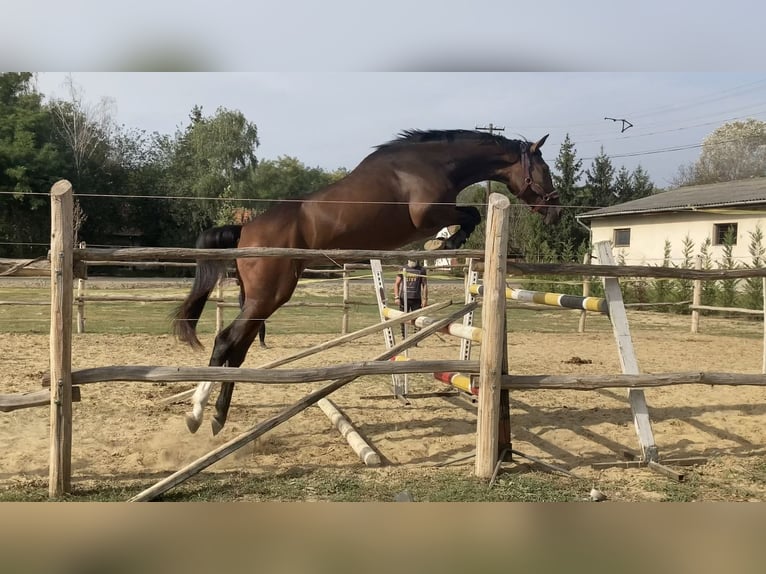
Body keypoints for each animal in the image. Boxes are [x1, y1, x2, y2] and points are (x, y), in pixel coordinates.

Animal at [172, 129, 560, 436]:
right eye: (544, 169)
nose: (554, 211)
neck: (434, 164)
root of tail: (245, 230)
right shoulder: (428, 214)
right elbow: (471, 215)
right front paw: (446, 244)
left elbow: (471, 215)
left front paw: (446, 244)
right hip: (266, 297)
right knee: (226, 341)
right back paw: (198, 415)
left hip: (262, 300)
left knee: (237, 350)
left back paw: (213, 417)